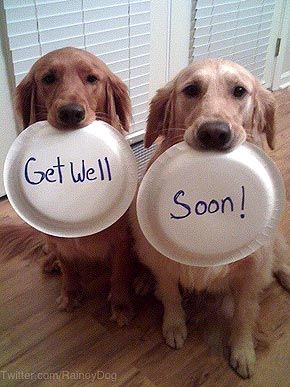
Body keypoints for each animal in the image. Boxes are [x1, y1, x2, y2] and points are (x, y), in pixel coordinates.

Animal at [1, 47, 134, 328]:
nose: (71, 112)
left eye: (92, 79)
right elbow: (68, 267)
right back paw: (50, 262)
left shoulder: (122, 238)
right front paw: (70, 294)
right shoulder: (59, 236)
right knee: (48, 249)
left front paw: (120, 305)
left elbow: (119, 274)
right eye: (48, 78)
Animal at [130, 58, 288, 378]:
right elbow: (170, 294)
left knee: (280, 260)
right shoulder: (162, 258)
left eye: (239, 91)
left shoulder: (252, 270)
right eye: (191, 89)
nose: (214, 133)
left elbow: (244, 314)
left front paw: (242, 351)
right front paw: (174, 326)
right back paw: (142, 279)